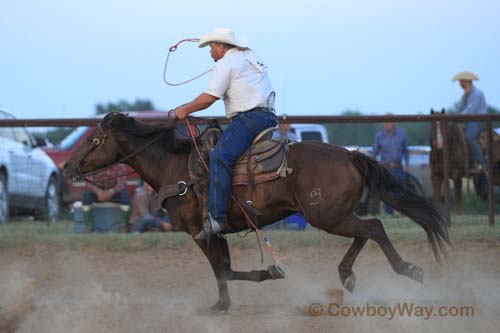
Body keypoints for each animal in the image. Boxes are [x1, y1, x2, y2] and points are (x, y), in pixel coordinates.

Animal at [62, 113, 450, 312]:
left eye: (93, 140)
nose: (66, 166)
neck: (175, 167)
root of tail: (353, 155)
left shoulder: (201, 232)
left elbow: (223, 270)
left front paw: (237, 295)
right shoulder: (216, 231)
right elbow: (224, 269)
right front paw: (231, 299)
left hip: (327, 216)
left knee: (374, 227)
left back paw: (407, 270)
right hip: (334, 215)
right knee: (367, 230)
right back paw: (348, 276)